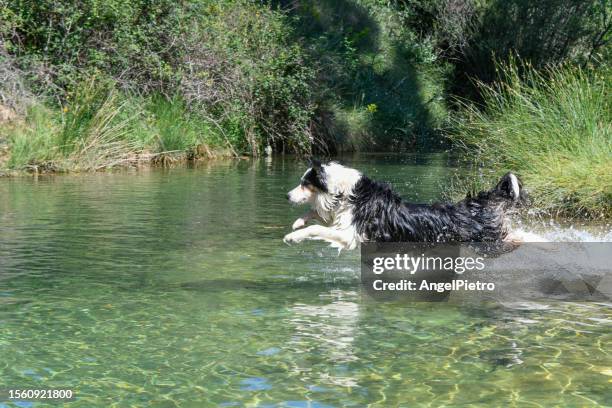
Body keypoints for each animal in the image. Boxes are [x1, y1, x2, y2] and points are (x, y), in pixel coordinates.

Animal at [284, 159, 524, 249]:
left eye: (304, 184)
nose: (286, 196)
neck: (346, 193)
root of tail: (472, 207)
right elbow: (317, 214)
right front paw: (298, 223)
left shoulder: (351, 234)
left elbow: (317, 227)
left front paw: (293, 236)